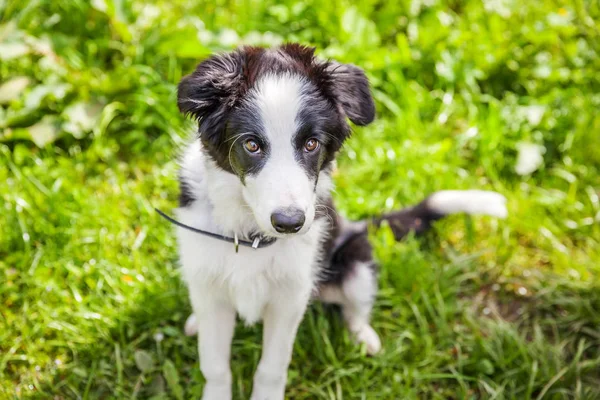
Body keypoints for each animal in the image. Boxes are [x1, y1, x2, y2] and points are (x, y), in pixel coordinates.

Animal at [172, 43, 506, 400]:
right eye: (251, 144)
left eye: (311, 144)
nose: (289, 223)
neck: (252, 236)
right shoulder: (209, 286)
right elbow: (215, 366)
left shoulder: (291, 296)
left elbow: (272, 369)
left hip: (356, 260)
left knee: (355, 307)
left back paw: (364, 337)